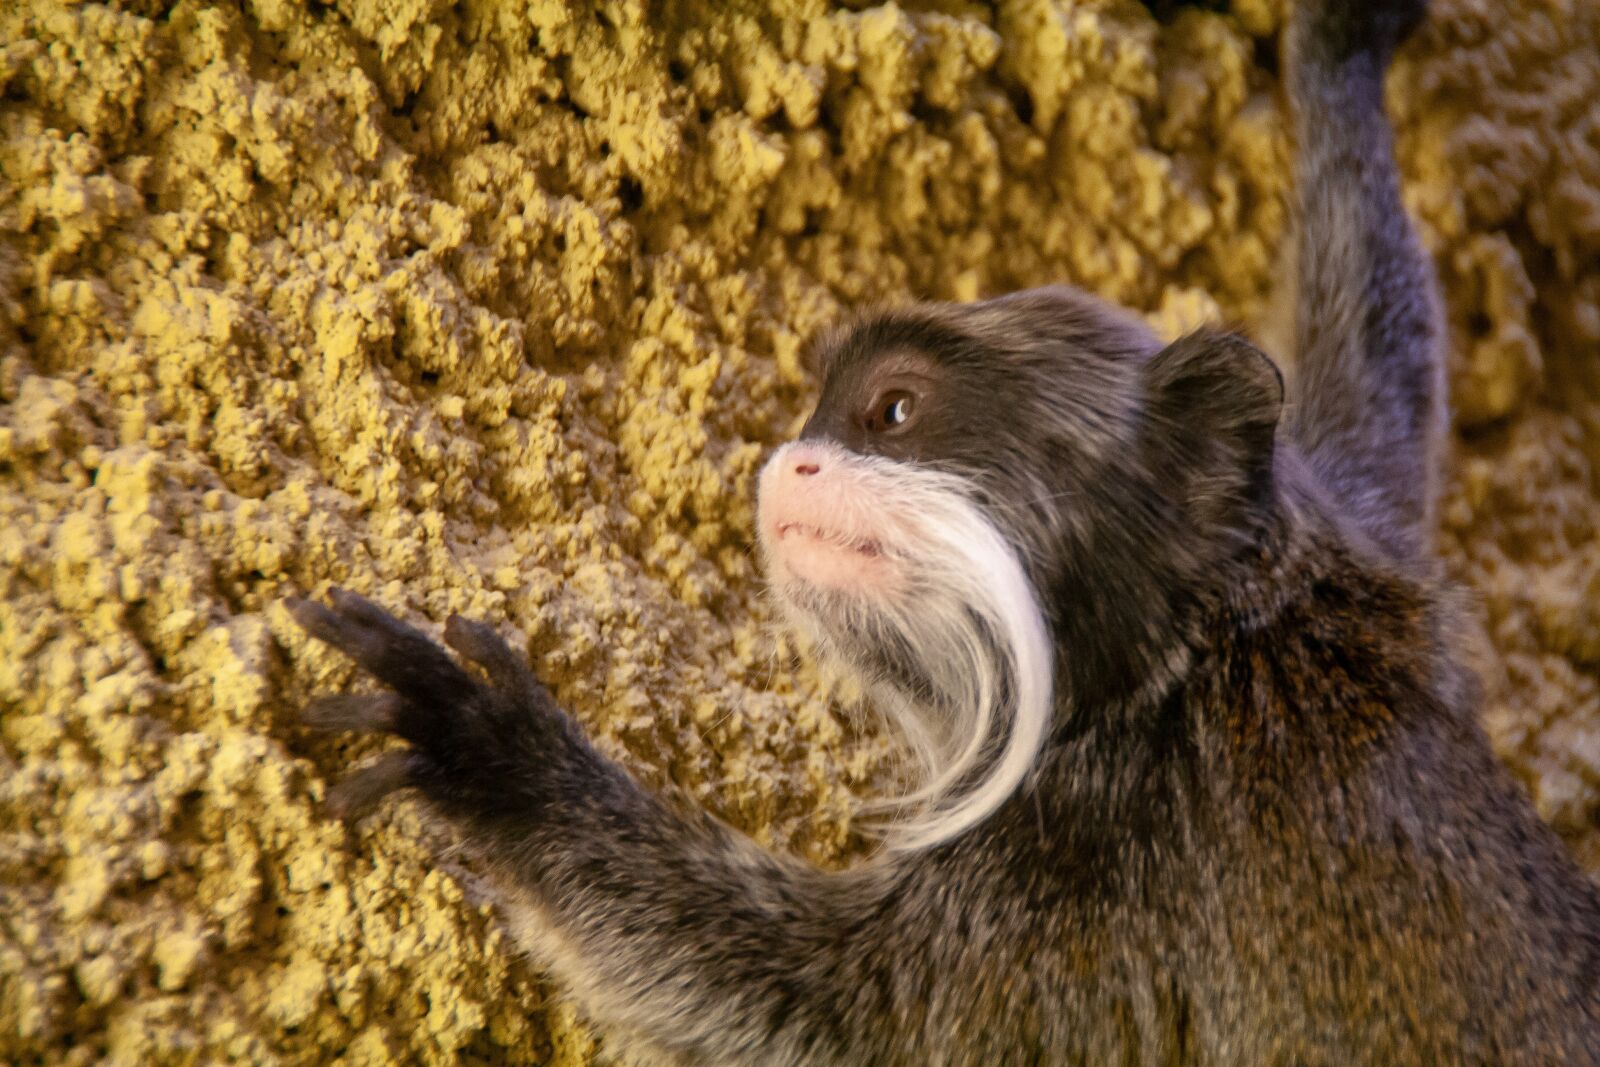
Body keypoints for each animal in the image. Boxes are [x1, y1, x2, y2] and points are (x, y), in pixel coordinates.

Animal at [285, 0, 1600, 1063]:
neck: (1197, 657)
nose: (790, 460)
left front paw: (503, 762)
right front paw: (1337, 61)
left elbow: (838, 1019)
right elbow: (1380, 367)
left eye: (893, 411)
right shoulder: (1366, 540)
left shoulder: (1086, 867)